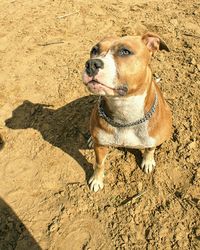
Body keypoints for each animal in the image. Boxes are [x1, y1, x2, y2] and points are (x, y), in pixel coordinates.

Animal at [83, 31, 172, 191]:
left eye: (125, 51)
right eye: (94, 50)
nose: (91, 64)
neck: (124, 111)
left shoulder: (152, 138)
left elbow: (150, 149)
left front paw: (148, 161)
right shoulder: (100, 147)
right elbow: (99, 164)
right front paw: (97, 180)